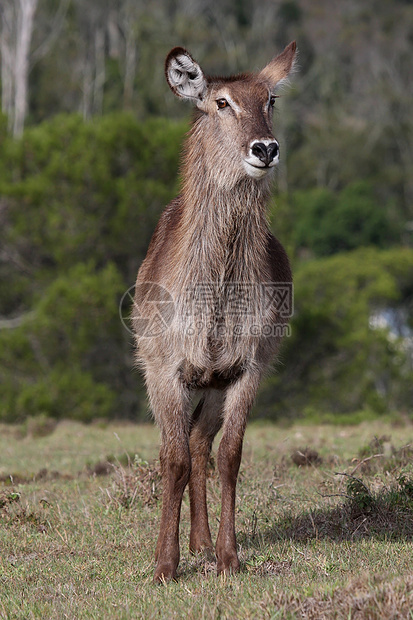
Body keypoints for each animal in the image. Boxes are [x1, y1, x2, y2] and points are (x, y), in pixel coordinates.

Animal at [133, 42, 296, 580]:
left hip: (213, 386)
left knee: (203, 445)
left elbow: (229, 457)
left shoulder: (247, 368)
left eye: (270, 100)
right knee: (184, 450)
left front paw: (228, 556)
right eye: (221, 103)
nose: (265, 149)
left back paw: (203, 544)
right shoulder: (165, 370)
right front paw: (164, 564)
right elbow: (173, 461)